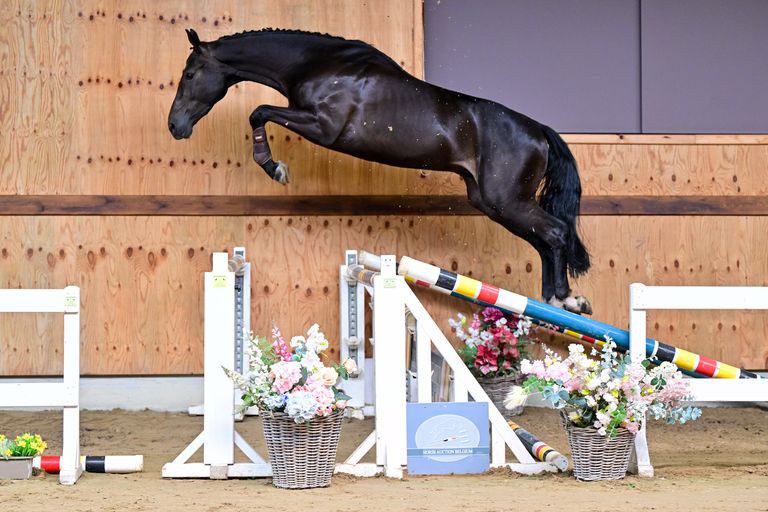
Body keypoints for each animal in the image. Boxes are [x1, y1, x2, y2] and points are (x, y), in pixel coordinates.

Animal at [168, 28, 592, 314]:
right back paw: (553, 300)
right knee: (544, 241)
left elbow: (259, 112)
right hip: (492, 202)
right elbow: (260, 113)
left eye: (189, 75)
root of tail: (539, 131)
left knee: (555, 233)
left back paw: (567, 300)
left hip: (506, 201)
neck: (317, 63)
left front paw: (276, 169)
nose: (175, 126)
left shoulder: (322, 126)